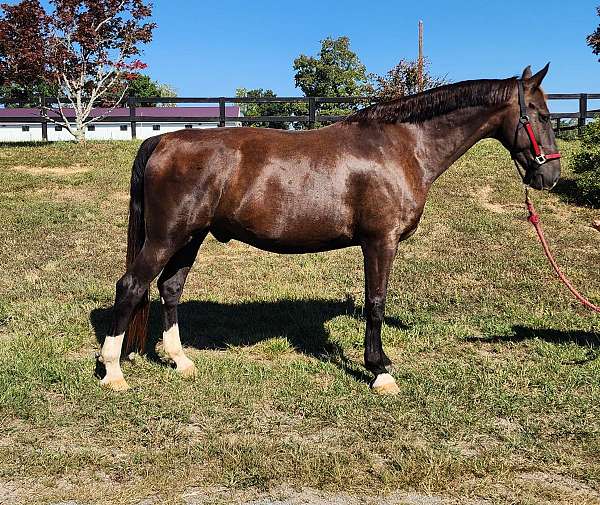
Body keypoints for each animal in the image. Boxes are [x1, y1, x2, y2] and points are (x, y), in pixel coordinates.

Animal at [99, 64, 564, 394]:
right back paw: (113, 372)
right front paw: (380, 371)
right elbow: (375, 302)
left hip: (189, 237)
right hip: (166, 237)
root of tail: (163, 139)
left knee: (170, 288)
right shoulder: (380, 242)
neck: (401, 148)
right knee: (131, 286)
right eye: (541, 115)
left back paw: (180, 361)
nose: (551, 175)